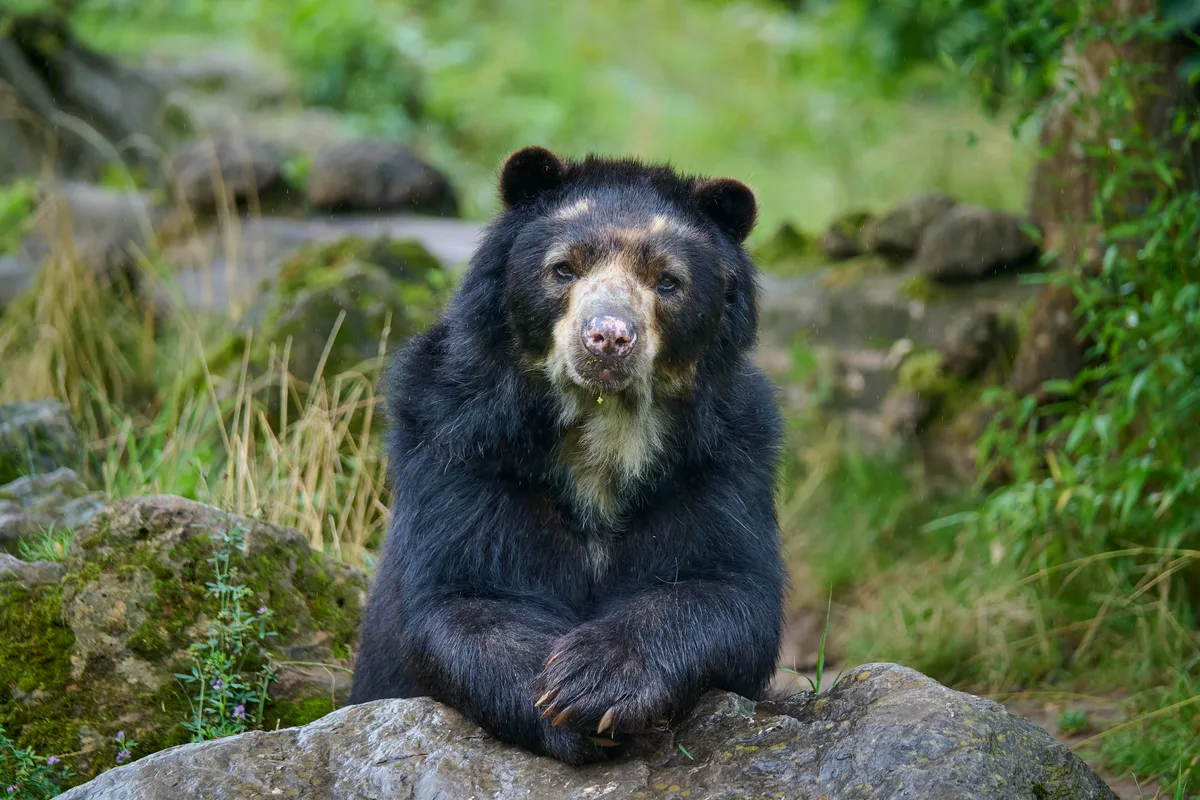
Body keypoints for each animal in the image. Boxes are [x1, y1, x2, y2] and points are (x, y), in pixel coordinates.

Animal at [348, 146, 787, 765]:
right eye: (563, 269)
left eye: (668, 281)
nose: (607, 337)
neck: (603, 429)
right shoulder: (464, 444)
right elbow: (467, 591)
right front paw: (559, 701)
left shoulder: (720, 459)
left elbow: (726, 587)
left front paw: (596, 681)